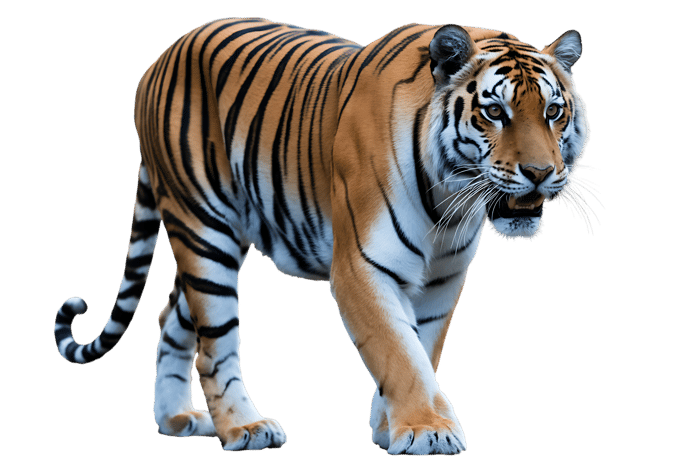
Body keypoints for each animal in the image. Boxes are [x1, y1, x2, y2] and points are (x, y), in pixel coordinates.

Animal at [53, 17, 594, 455]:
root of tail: (162, 56)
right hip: (203, 229)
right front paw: (427, 429)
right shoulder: (362, 266)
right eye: (495, 112)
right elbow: (398, 351)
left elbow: (421, 348)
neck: (449, 201)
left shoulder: (443, 279)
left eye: (553, 112)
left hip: (219, 237)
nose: (541, 173)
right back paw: (244, 428)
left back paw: (177, 419)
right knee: (213, 345)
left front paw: (392, 426)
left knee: (172, 318)